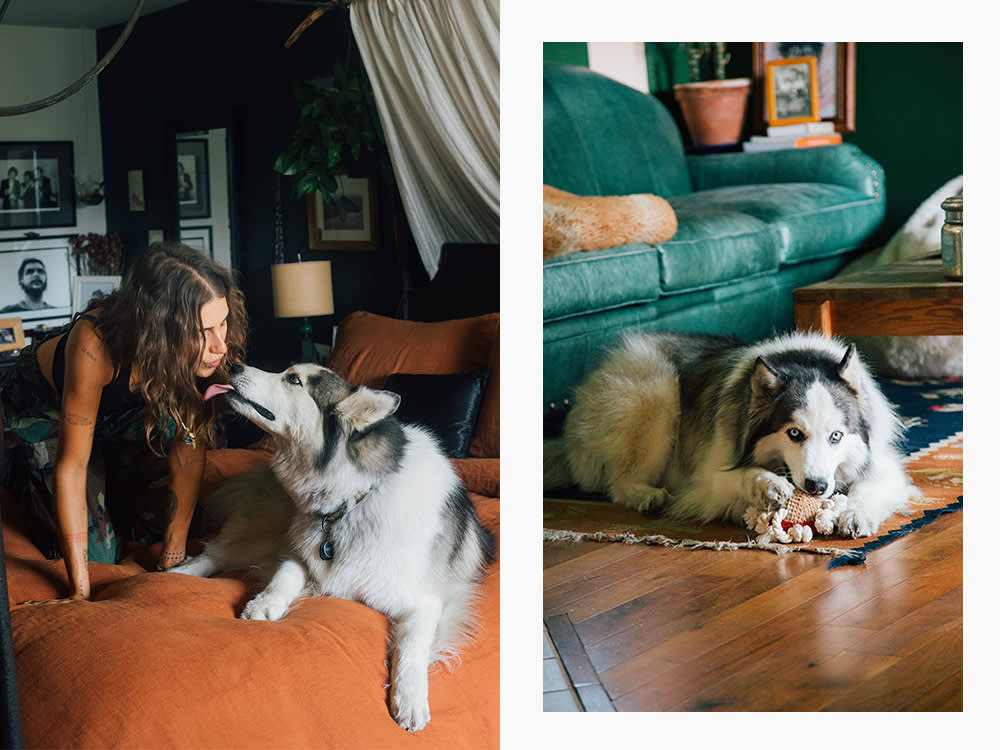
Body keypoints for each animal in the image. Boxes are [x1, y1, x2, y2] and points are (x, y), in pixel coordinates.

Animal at [178, 364, 498, 736]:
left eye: (293, 379)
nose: (234, 365)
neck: (355, 497)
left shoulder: (425, 603)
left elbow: (411, 649)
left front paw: (410, 700)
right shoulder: (297, 550)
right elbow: (284, 574)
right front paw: (265, 603)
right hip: (259, 532)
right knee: (213, 553)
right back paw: (176, 573)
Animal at [548, 332, 916, 536]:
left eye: (836, 437)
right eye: (794, 433)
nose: (816, 486)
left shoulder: (883, 466)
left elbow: (868, 487)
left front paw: (855, 514)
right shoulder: (703, 480)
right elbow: (738, 475)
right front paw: (769, 485)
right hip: (657, 391)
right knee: (617, 482)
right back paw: (645, 495)